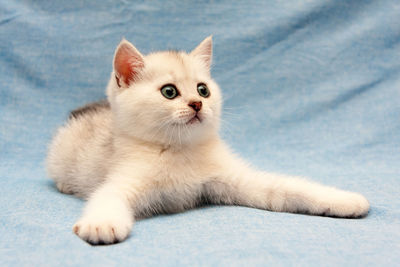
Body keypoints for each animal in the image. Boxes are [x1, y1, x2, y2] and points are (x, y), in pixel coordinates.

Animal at [47, 36, 368, 246]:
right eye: (169, 92)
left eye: (203, 89)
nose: (197, 104)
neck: (179, 149)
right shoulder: (122, 179)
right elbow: (107, 197)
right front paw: (101, 224)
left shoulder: (237, 179)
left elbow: (290, 188)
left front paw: (343, 200)